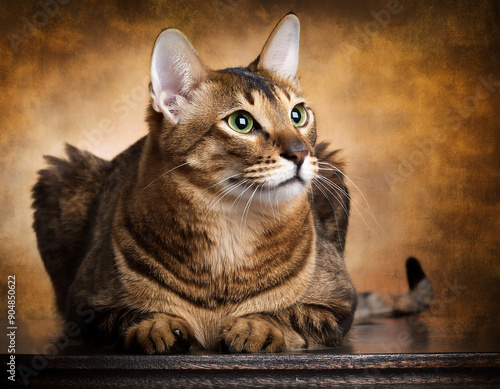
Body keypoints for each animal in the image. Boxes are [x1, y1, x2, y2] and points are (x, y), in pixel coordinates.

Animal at [31, 13, 432, 354]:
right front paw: (156, 326)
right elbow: (126, 315)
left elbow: (290, 313)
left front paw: (257, 325)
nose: (301, 153)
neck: (231, 229)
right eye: (241, 122)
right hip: (62, 174)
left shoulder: (339, 301)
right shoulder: (83, 305)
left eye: (297, 115)